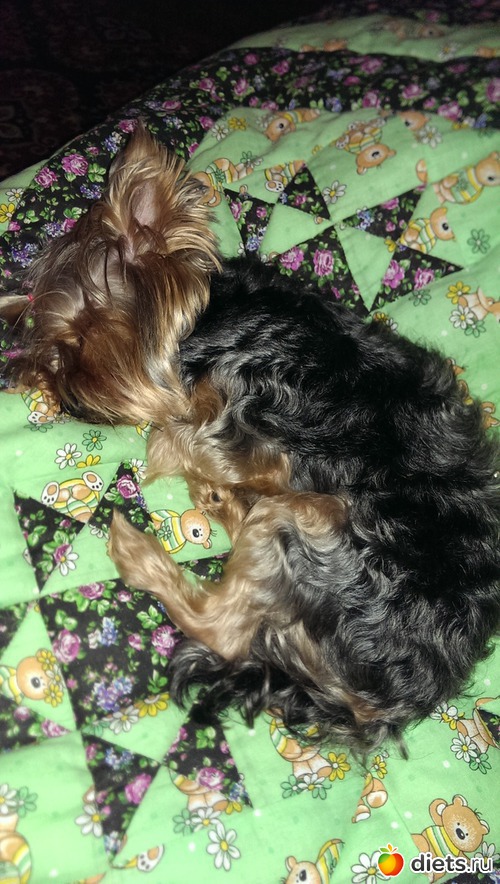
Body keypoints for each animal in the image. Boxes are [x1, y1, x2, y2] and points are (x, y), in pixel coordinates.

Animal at [3, 124, 500, 752]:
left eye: (84, 339)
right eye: (51, 356)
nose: (61, 389)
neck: (206, 321)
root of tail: (390, 700)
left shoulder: (250, 432)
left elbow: (177, 438)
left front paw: (177, 452)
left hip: (310, 517)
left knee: (224, 626)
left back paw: (139, 549)